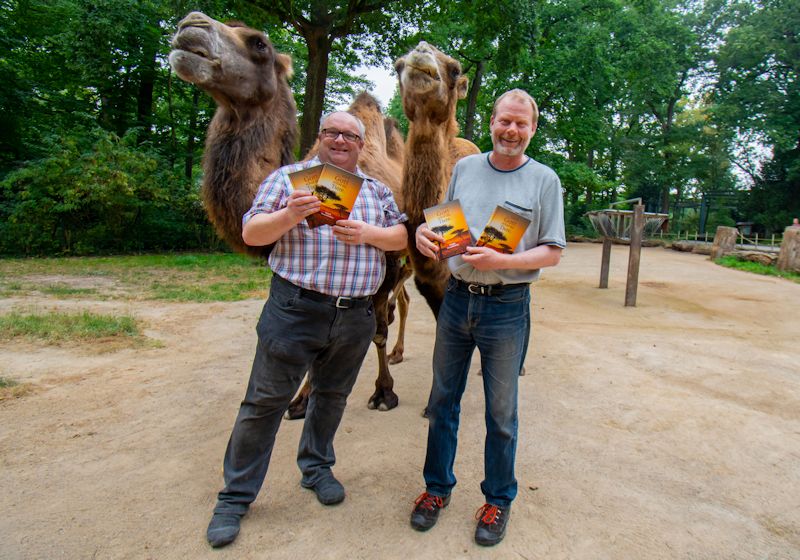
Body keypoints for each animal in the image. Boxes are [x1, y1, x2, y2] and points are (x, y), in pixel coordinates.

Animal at [167, 12, 406, 416]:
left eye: (259, 43)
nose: (190, 27)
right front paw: (301, 399)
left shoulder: (388, 265)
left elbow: (377, 330)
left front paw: (384, 392)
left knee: (398, 307)